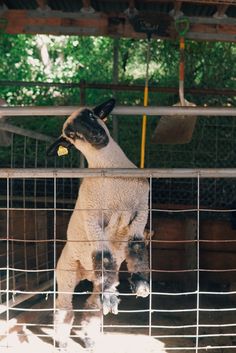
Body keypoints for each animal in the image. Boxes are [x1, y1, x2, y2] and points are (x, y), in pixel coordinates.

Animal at [46, 98, 149, 350]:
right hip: (66, 271)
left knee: (93, 306)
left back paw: (91, 338)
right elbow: (104, 255)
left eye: (92, 116)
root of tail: (86, 274)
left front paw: (141, 283)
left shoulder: (141, 209)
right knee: (64, 306)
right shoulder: (93, 217)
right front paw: (115, 294)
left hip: (96, 280)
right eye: (71, 135)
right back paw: (62, 342)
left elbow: (137, 245)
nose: (96, 136)